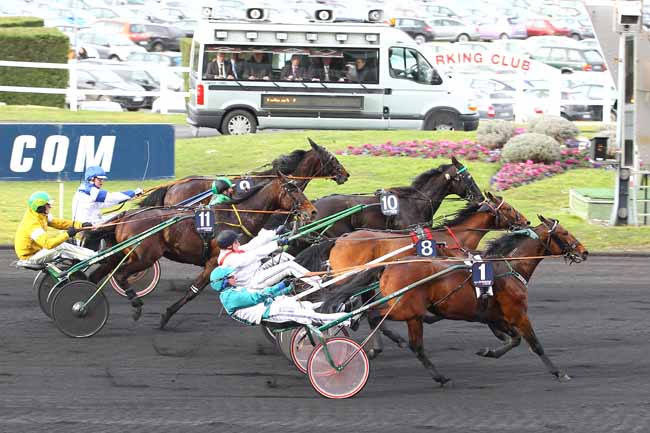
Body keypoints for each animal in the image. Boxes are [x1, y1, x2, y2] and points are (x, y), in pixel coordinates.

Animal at [324, 214, 588, 386]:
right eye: (565, 233)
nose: (584, 251)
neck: (509, 267)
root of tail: (389, 265)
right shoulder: (518, 313)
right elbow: (534, 344)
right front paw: (559, 372)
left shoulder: (496, 316)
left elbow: (512, 340)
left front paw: (488, 351)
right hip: (406, 309)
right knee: (377, 317)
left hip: (409, 312)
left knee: (410, 342)